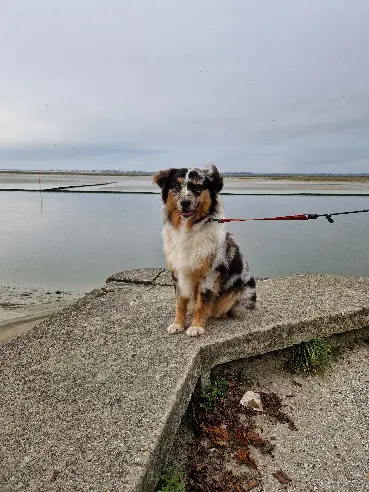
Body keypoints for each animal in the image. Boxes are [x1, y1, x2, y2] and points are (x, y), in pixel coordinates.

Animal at [153, 163, 256, 336]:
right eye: (176, 186)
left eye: (197, 187)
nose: (185, 202)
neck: (188, 229)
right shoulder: (177, 272)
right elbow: (180, 302)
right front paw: (178, 324)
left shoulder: (209, 273)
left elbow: (202, 302)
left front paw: (196, 326)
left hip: (240, 291)